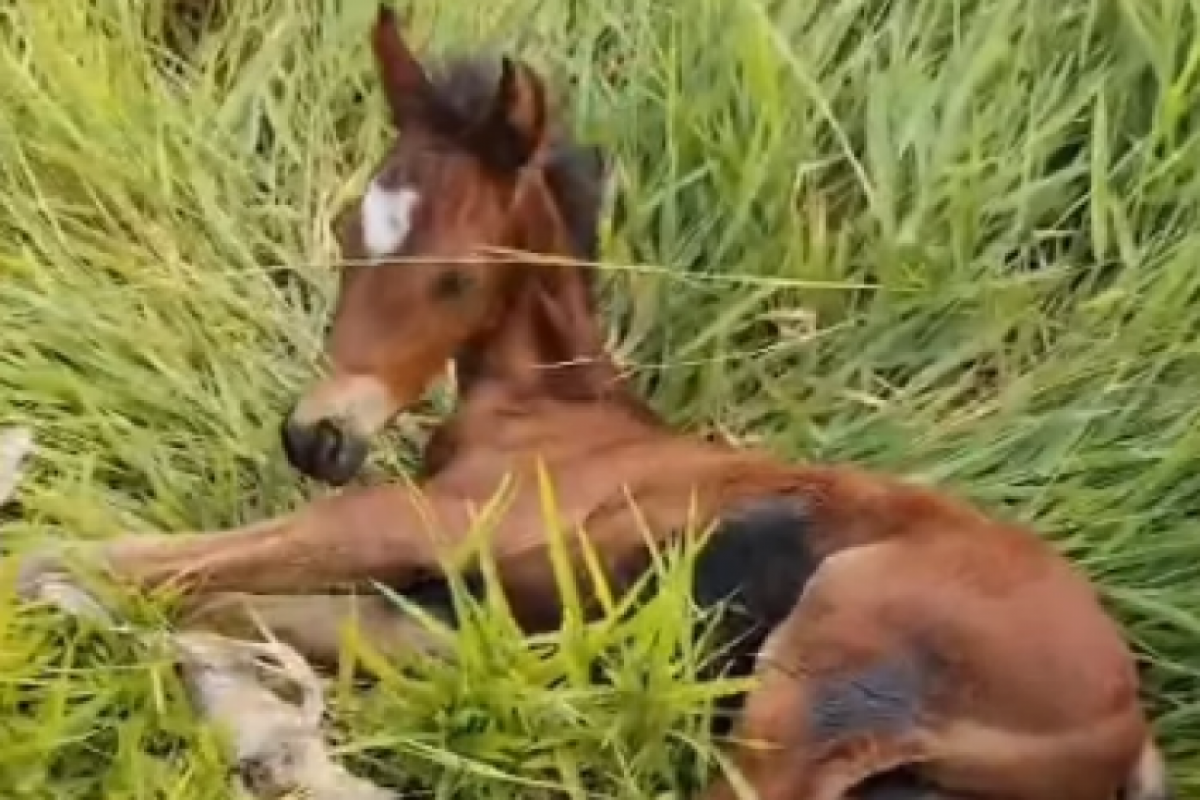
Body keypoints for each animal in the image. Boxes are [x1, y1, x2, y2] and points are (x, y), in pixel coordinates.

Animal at [14, 7, 1171, 800]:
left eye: (456, 278)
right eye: (350, 231)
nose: (319, 435)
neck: (542, 411)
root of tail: (1127, 719)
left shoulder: (425, 519)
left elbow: (130, 559)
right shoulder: (458, 609)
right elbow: (221, 604)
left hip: (825, 671)